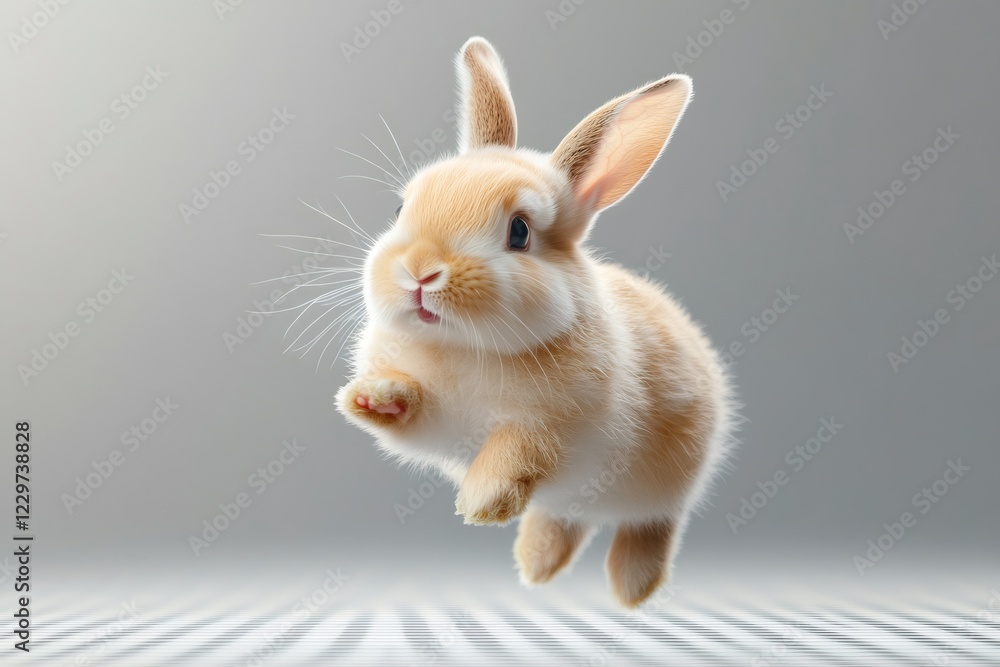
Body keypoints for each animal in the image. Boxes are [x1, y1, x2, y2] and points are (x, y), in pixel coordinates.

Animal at [335, 36, 737, 608]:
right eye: (399, 209)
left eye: (520, 232)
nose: (420, 271)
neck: (465, 346)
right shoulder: (435, 421)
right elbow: (413, 409)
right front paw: (372, 397)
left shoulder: (559, 429)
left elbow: (518, 448)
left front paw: (480, 502)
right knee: (564, 517)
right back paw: (537, 563)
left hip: (671, 478)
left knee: (652, 522)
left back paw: (631, 586)